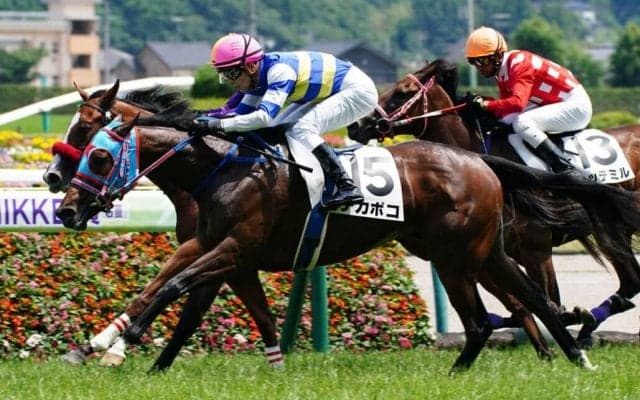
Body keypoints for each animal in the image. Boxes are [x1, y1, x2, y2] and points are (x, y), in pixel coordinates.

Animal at [55, 114, 640, 372]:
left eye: (99, 154)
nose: (63, 207)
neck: (221, 169)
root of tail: (479, 159)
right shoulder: (223, 253)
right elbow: (191, 306)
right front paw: (131, 355)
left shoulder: (233, 251)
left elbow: (173, 286)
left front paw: (118, 343)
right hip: (481, 251)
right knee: (529, 301)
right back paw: (573, 354)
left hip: (458, 256)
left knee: (489, 316)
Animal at [347, 59, 640, 344]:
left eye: (402, 92)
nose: (355, 125)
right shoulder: (498, 252)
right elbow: (528, 306)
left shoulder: (536, 249)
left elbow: (547, 304)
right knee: (630, 282)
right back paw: (590, 326)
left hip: (608, 229)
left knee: (630, 282)